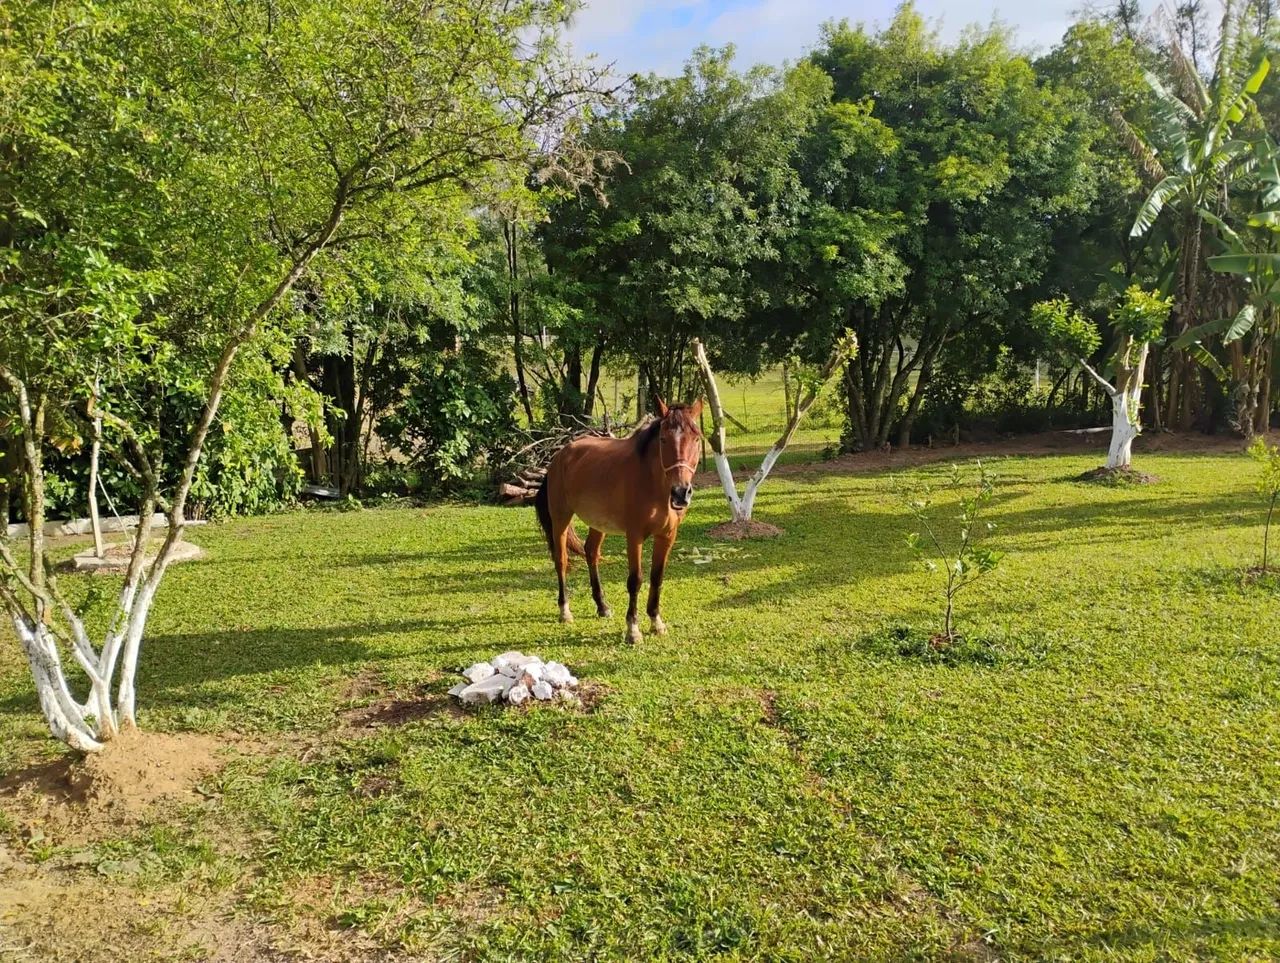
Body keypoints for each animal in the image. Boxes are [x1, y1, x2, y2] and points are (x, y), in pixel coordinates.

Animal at [534, 399, 704, 644]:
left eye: (697, 438)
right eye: (663, 439)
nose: (681, 492)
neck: (653, 483)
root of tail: (560, 456)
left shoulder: (667, 536)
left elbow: (657, 577)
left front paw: (656, 622)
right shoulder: (634, 536)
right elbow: (635, 580)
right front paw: (633, 630)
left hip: (598, 524)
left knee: (591, 552)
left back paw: (602, 606)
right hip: (560, 518)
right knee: (561, 560)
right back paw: (565, 611)